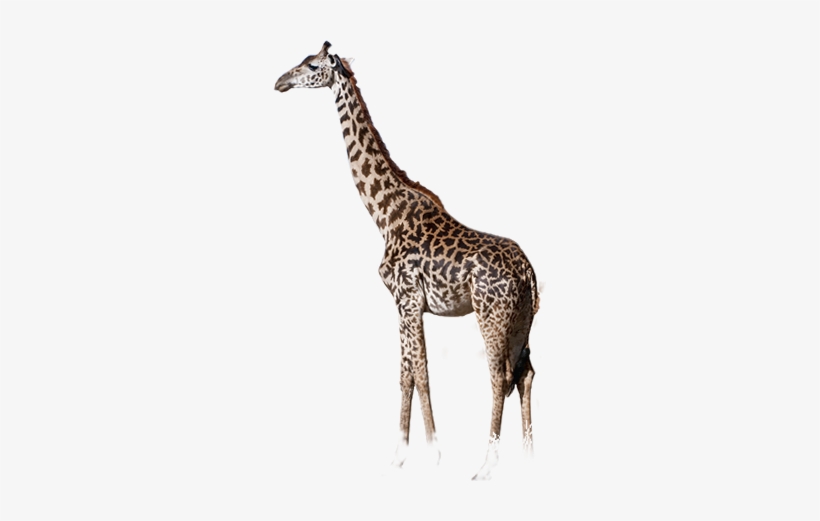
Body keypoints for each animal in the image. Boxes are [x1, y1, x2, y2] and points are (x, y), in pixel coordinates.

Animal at [275, 42, 539, 480]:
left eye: (311, 65)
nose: (279, 81)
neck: (383, 214)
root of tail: (529, 273)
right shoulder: (401, 303)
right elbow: (406, 376)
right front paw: (398, 455)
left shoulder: (409, 298)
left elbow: (422, 372)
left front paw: (433, 453)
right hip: (522, 318)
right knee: (525, 373)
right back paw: (530, 458)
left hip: (491, 314)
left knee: (498, 375)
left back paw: (486, 465)